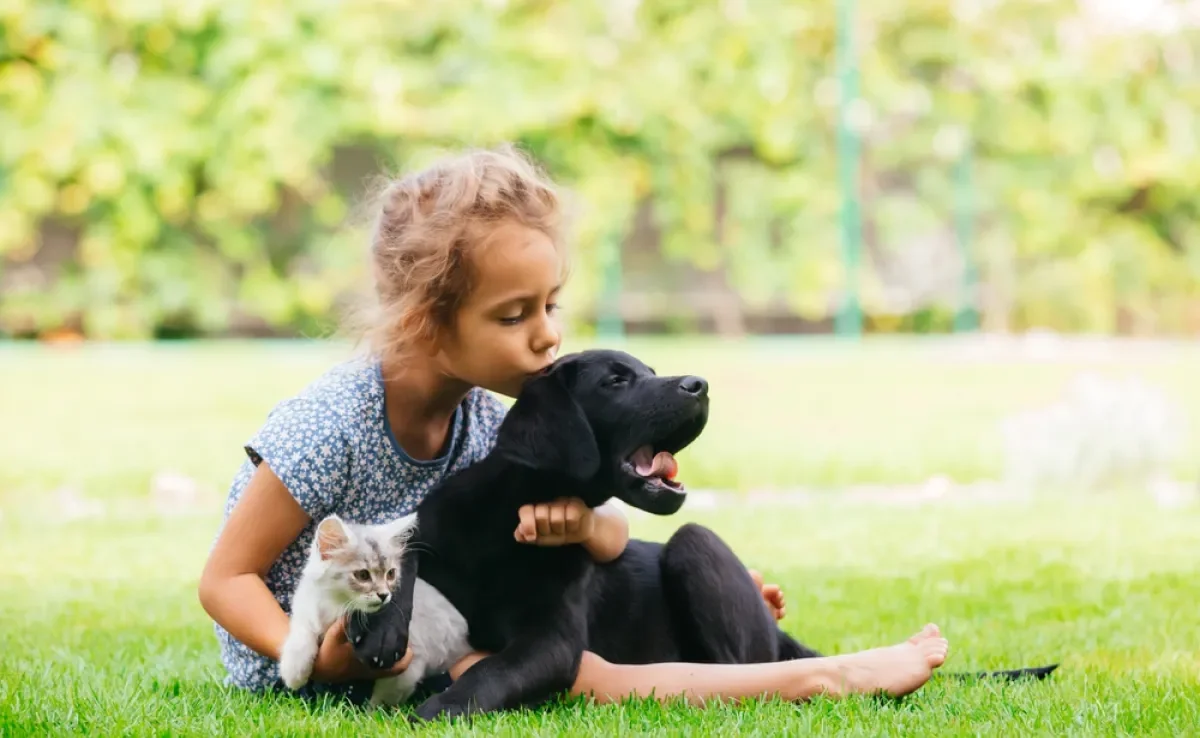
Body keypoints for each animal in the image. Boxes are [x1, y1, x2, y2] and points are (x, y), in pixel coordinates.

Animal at [278, 511, 470, 705]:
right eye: (363, 575)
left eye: (391, 574)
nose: (384, 595)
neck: (336, 604)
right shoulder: (306, 608)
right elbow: (301, 636)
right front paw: (294, 672)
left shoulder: (410, 664)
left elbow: (382, 700)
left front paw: (370, 712)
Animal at [345, 350, 1051, 720]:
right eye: (617, 379)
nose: (701, 385)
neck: (512, 515)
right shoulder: (436, 525)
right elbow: (401, 550)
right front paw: (381, 628)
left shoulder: (553, 641)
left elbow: (493, 672)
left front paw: (433, 711)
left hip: (696, 543)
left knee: (741, 675)